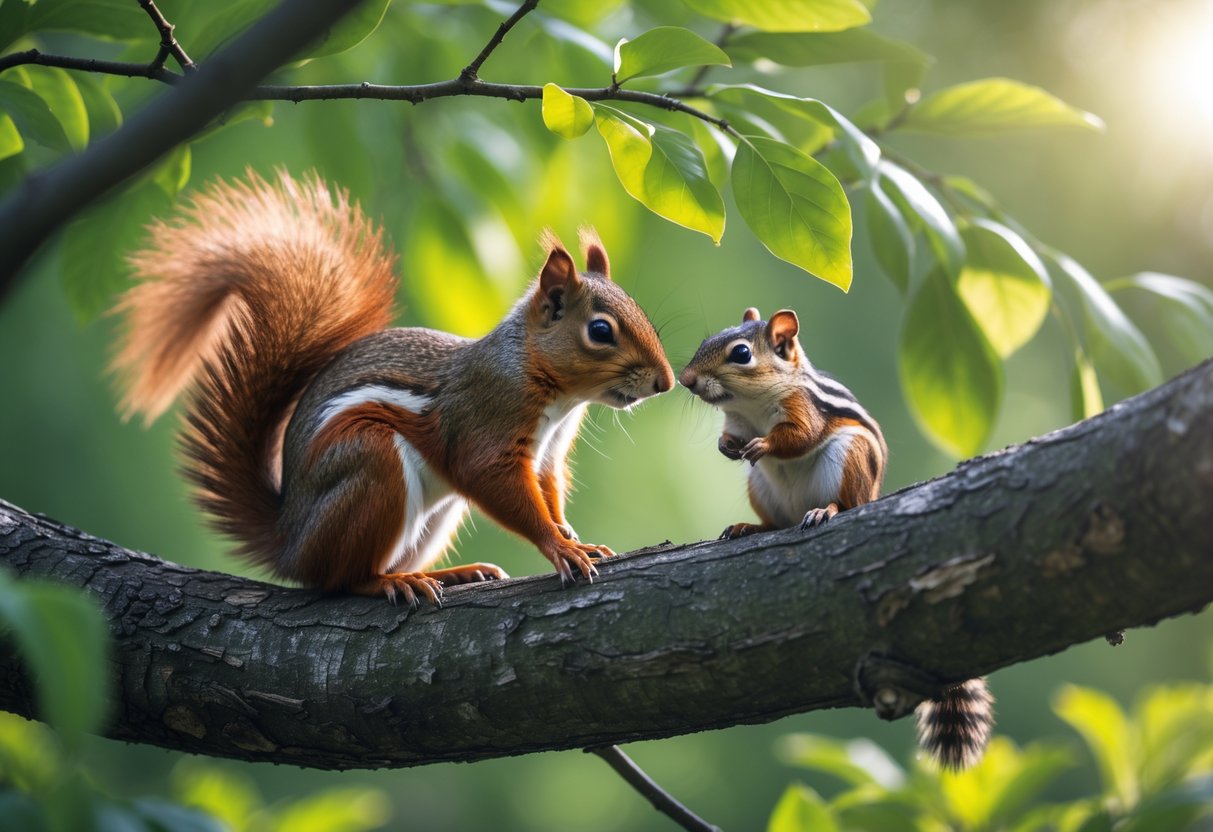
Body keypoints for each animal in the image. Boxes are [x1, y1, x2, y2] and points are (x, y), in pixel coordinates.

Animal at [110, 170, 674, 606]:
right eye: (600, 331)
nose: (665, 382)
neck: (552, 389)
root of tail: (289, 540)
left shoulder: (549, 454)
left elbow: (550, 493)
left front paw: (572, 536)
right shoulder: (487, 419)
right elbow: (493, 479)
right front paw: (558, 547)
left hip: (436, 514)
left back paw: (450, 573)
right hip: (371, 463)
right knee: (340, 580)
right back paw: (393, 583)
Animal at [680, 306, 994, 771]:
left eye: (741, 354)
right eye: (707, 341)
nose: (686, 379)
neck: (750, 406)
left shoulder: (803, 410)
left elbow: (798, 437)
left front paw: (764, 445)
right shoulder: (735, 421)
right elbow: (730, 436)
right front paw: (727, 446)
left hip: (849, 458)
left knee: (846, 504)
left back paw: (824, 510)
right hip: (760, 487)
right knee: (777, 522)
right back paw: (751, 527)